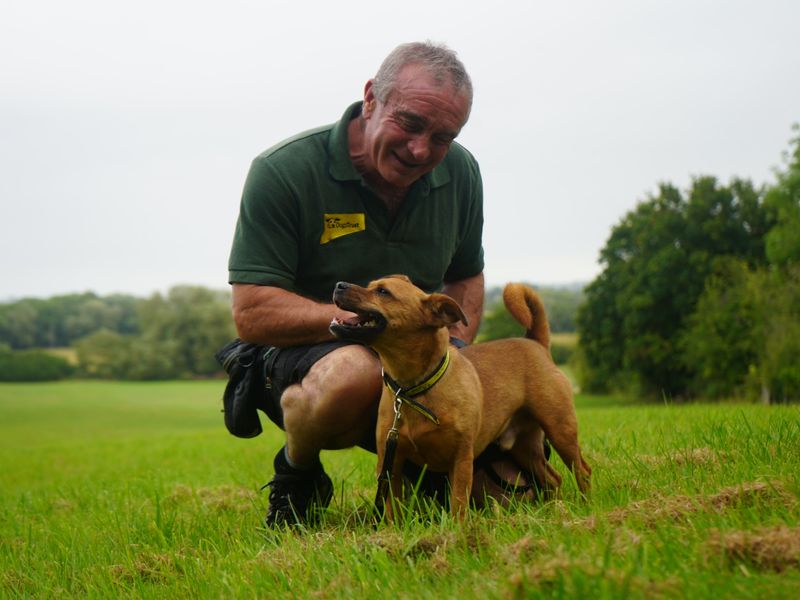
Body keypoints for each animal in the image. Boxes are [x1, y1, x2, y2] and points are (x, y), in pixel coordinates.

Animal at [328, 276, 592, 520]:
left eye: (383, 292)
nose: (339, 284)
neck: (415, 388)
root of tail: (535, 342)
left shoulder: (461, 459)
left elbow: (458, 503)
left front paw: (458, 531)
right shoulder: (391, 463)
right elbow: (393, 506)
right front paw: (394, 531)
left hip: (561, 431)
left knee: (582, 471)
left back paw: (584, 506)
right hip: (526, 447)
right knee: (553, 478)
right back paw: (553, 509)